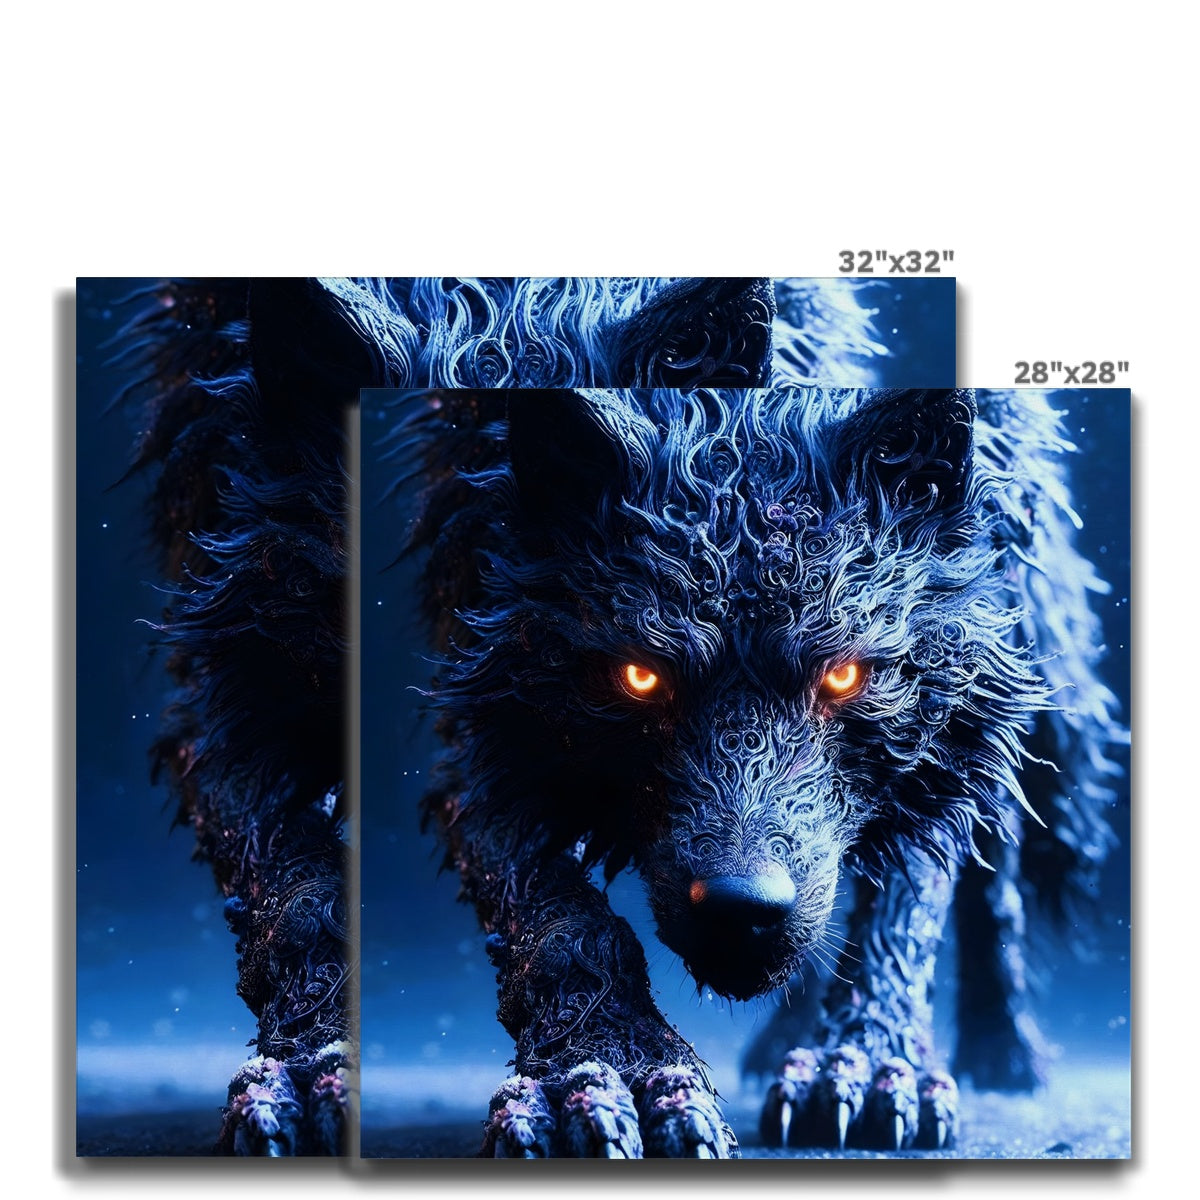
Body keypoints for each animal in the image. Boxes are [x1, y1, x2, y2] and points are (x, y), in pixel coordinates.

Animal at [393, 384, 1125, 1157]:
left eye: (845, 675)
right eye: (640, 676)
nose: (741, 906)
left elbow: (911, 889)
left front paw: (865, 1064)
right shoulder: (480, 699)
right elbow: (556, 915)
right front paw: (607, 1075)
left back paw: (1000, 1052)